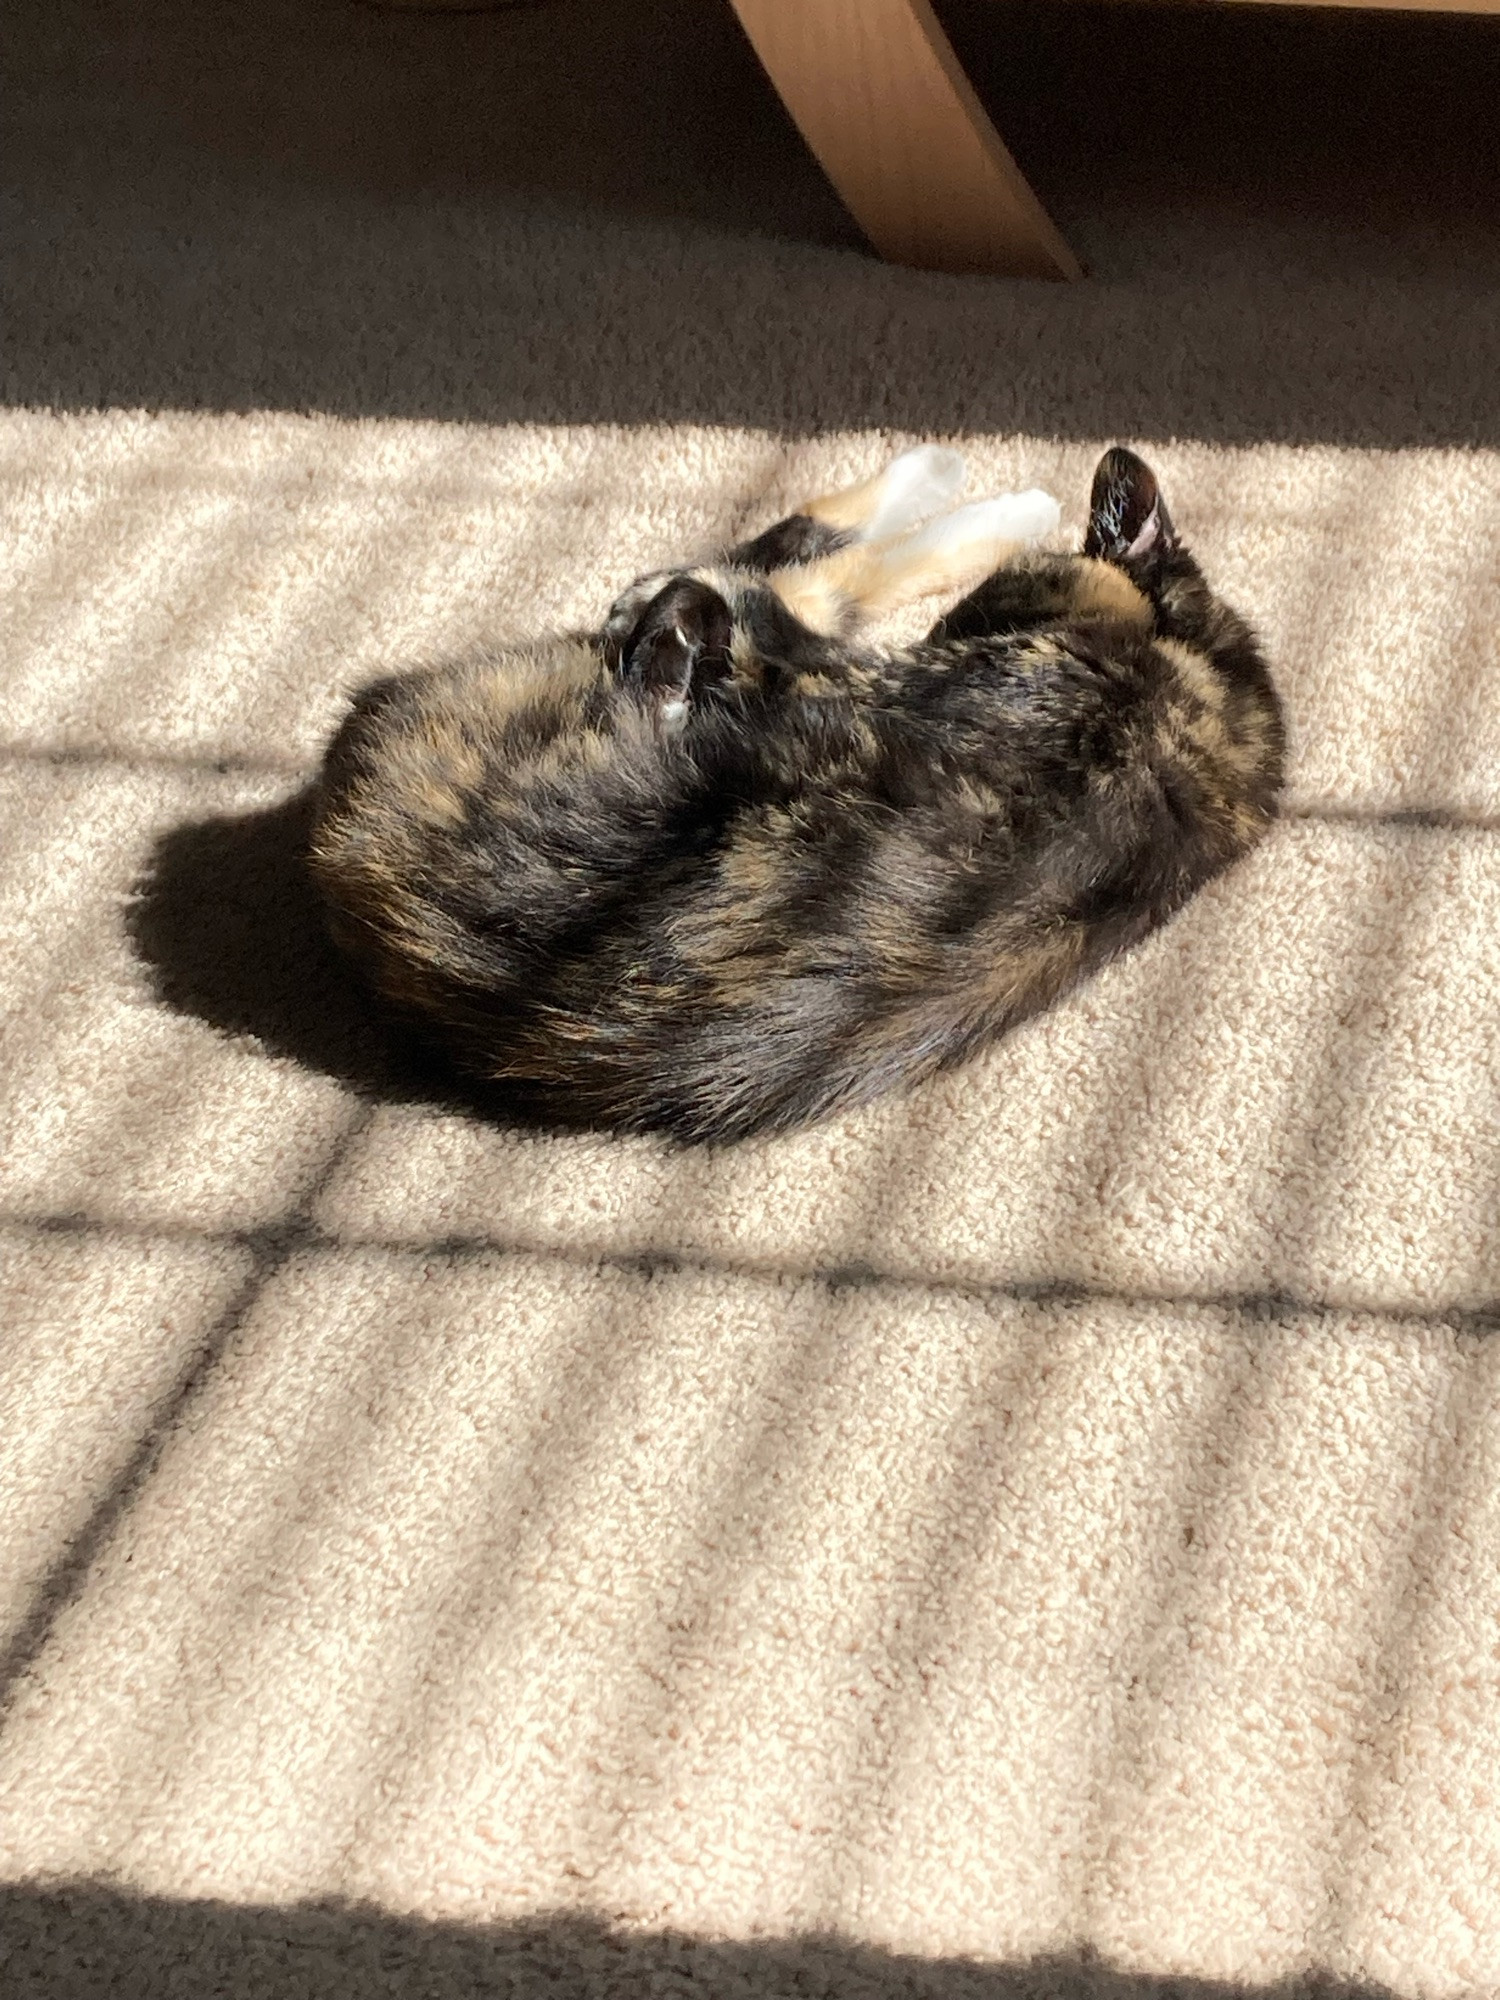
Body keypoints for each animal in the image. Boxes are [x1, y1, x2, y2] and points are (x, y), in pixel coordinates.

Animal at [312, 448, 1288, 1152]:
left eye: (979, 612)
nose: (942, 629)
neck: (1212, 700)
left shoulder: (852, 677)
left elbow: (781, 597)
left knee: (773, 578)